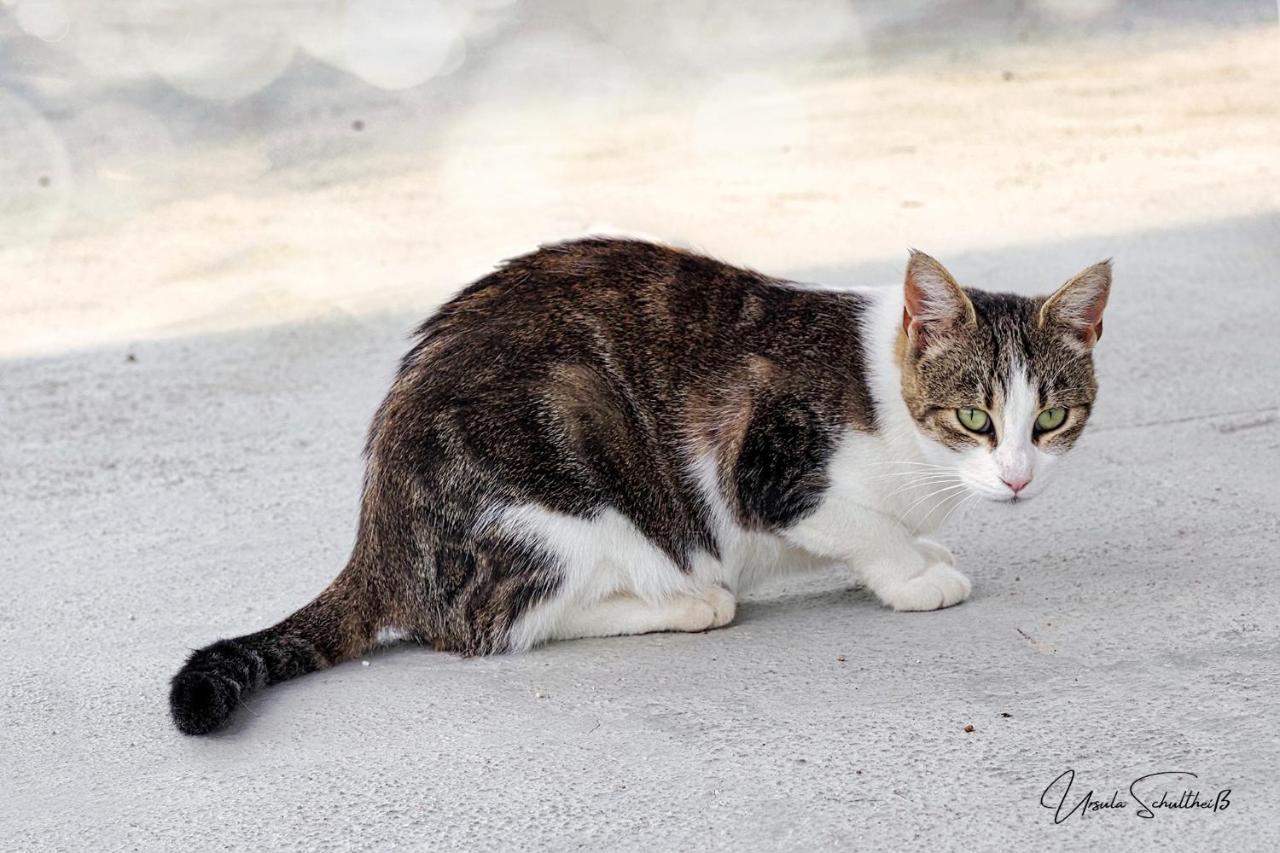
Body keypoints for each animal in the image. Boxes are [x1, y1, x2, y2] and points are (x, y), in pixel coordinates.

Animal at [167, 236, 1111, 732]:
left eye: (1052, 419)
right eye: (975, 417)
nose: (1017, 478)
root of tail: (378, 536)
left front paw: (923, 546)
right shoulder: (765, 468)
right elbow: (852, 523)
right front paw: (913, 572)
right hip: (564, 474)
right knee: (497, 623)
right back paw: (691, 599)